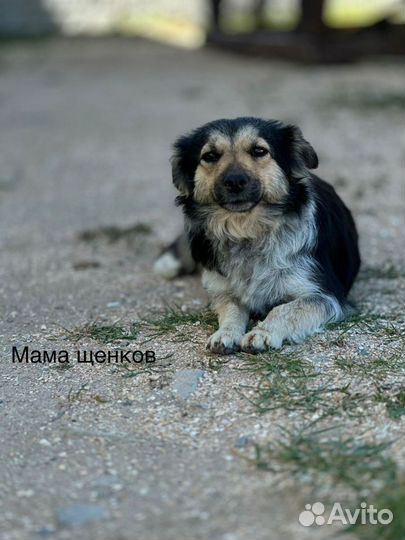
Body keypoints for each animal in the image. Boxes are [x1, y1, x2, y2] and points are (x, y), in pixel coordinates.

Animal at [155, 117, 360, 354]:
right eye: (210, 156)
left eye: (259, 151)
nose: (235, 181)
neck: (246, 231)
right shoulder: (223, 290)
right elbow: (231, 309)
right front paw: (226, 333)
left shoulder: (324, 295)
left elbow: (284, 309)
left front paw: (263, 333)